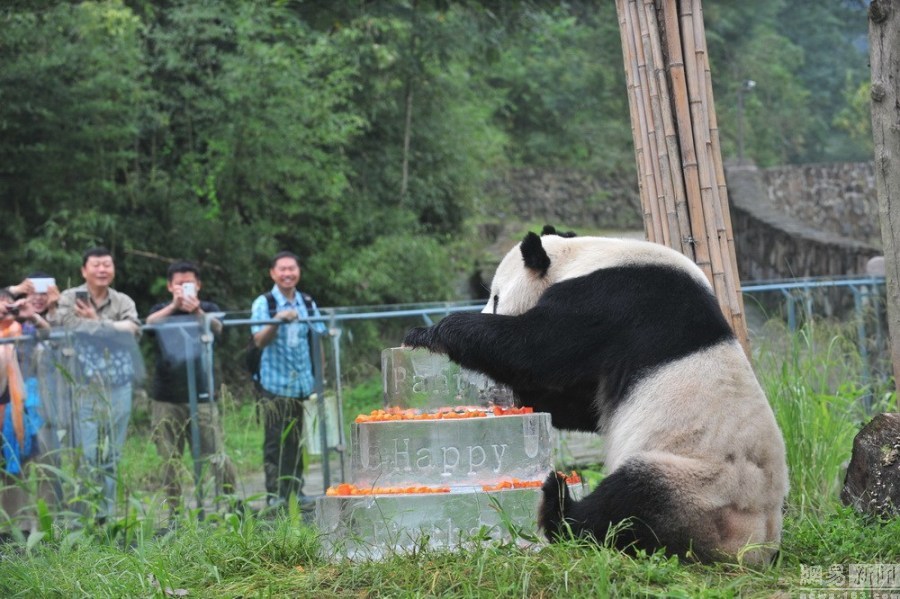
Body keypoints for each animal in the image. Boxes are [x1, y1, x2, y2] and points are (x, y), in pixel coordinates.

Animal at [404, 227, 792, 564]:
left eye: (496, 298)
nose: (488, 307)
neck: (584, 257)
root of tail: (756, 546)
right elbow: (582, 405)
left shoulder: (608, 302)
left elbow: (536, 349)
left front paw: (433, 332)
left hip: (702, 489)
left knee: (628, 500)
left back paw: (558, 504)